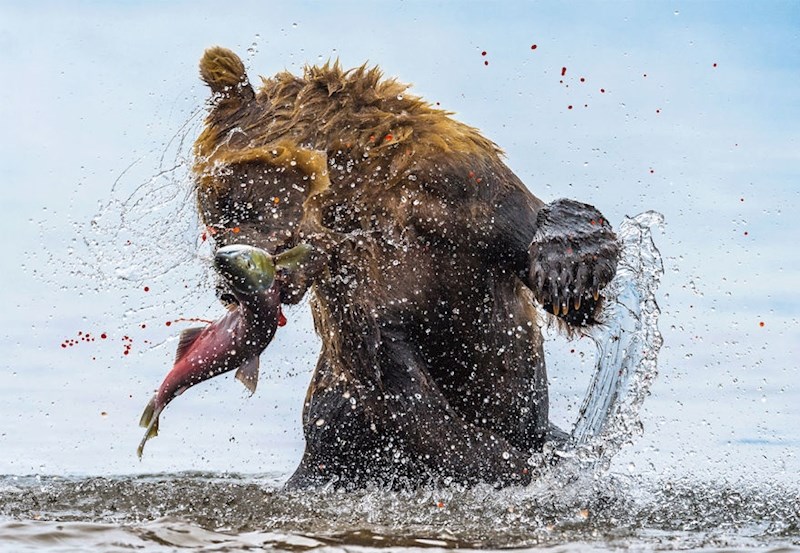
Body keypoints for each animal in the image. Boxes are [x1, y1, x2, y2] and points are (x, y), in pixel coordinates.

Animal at [192, 47, 619, 488]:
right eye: (210, 216)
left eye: (229, 208)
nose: (226, 286)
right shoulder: (356, 282)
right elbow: (396, 386)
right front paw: (522, 468)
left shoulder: (465, 191)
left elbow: (560, 274)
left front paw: (570, 266)